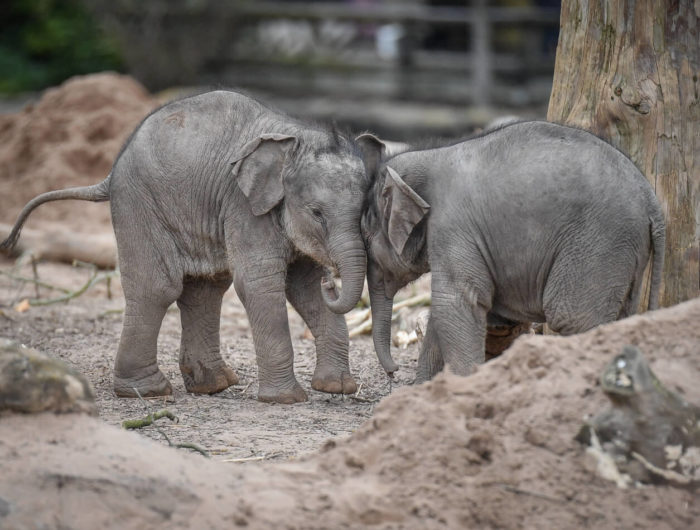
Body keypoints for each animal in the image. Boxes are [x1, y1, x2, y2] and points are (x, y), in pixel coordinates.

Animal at [1, 91, 382, 402]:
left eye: (366, 210)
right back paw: (149, 391)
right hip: (140, 204)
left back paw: (213, 385)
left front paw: (337, 388)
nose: (332, 280)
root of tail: (110, 173)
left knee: (205, 289)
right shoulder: (245, 207)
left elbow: (303, 287)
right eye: (317, 213)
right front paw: (286, 400)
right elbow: (259, 284)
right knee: (158, 288)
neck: (297, 135)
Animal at [364, 120, 664, 380]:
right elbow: (445, 312)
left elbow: (456, 302)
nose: (393, 372)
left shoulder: (453, 228)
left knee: (574, 318)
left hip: (598, 244)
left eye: (365, 233)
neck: (429, 155)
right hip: (626, 252)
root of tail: (653, 202)